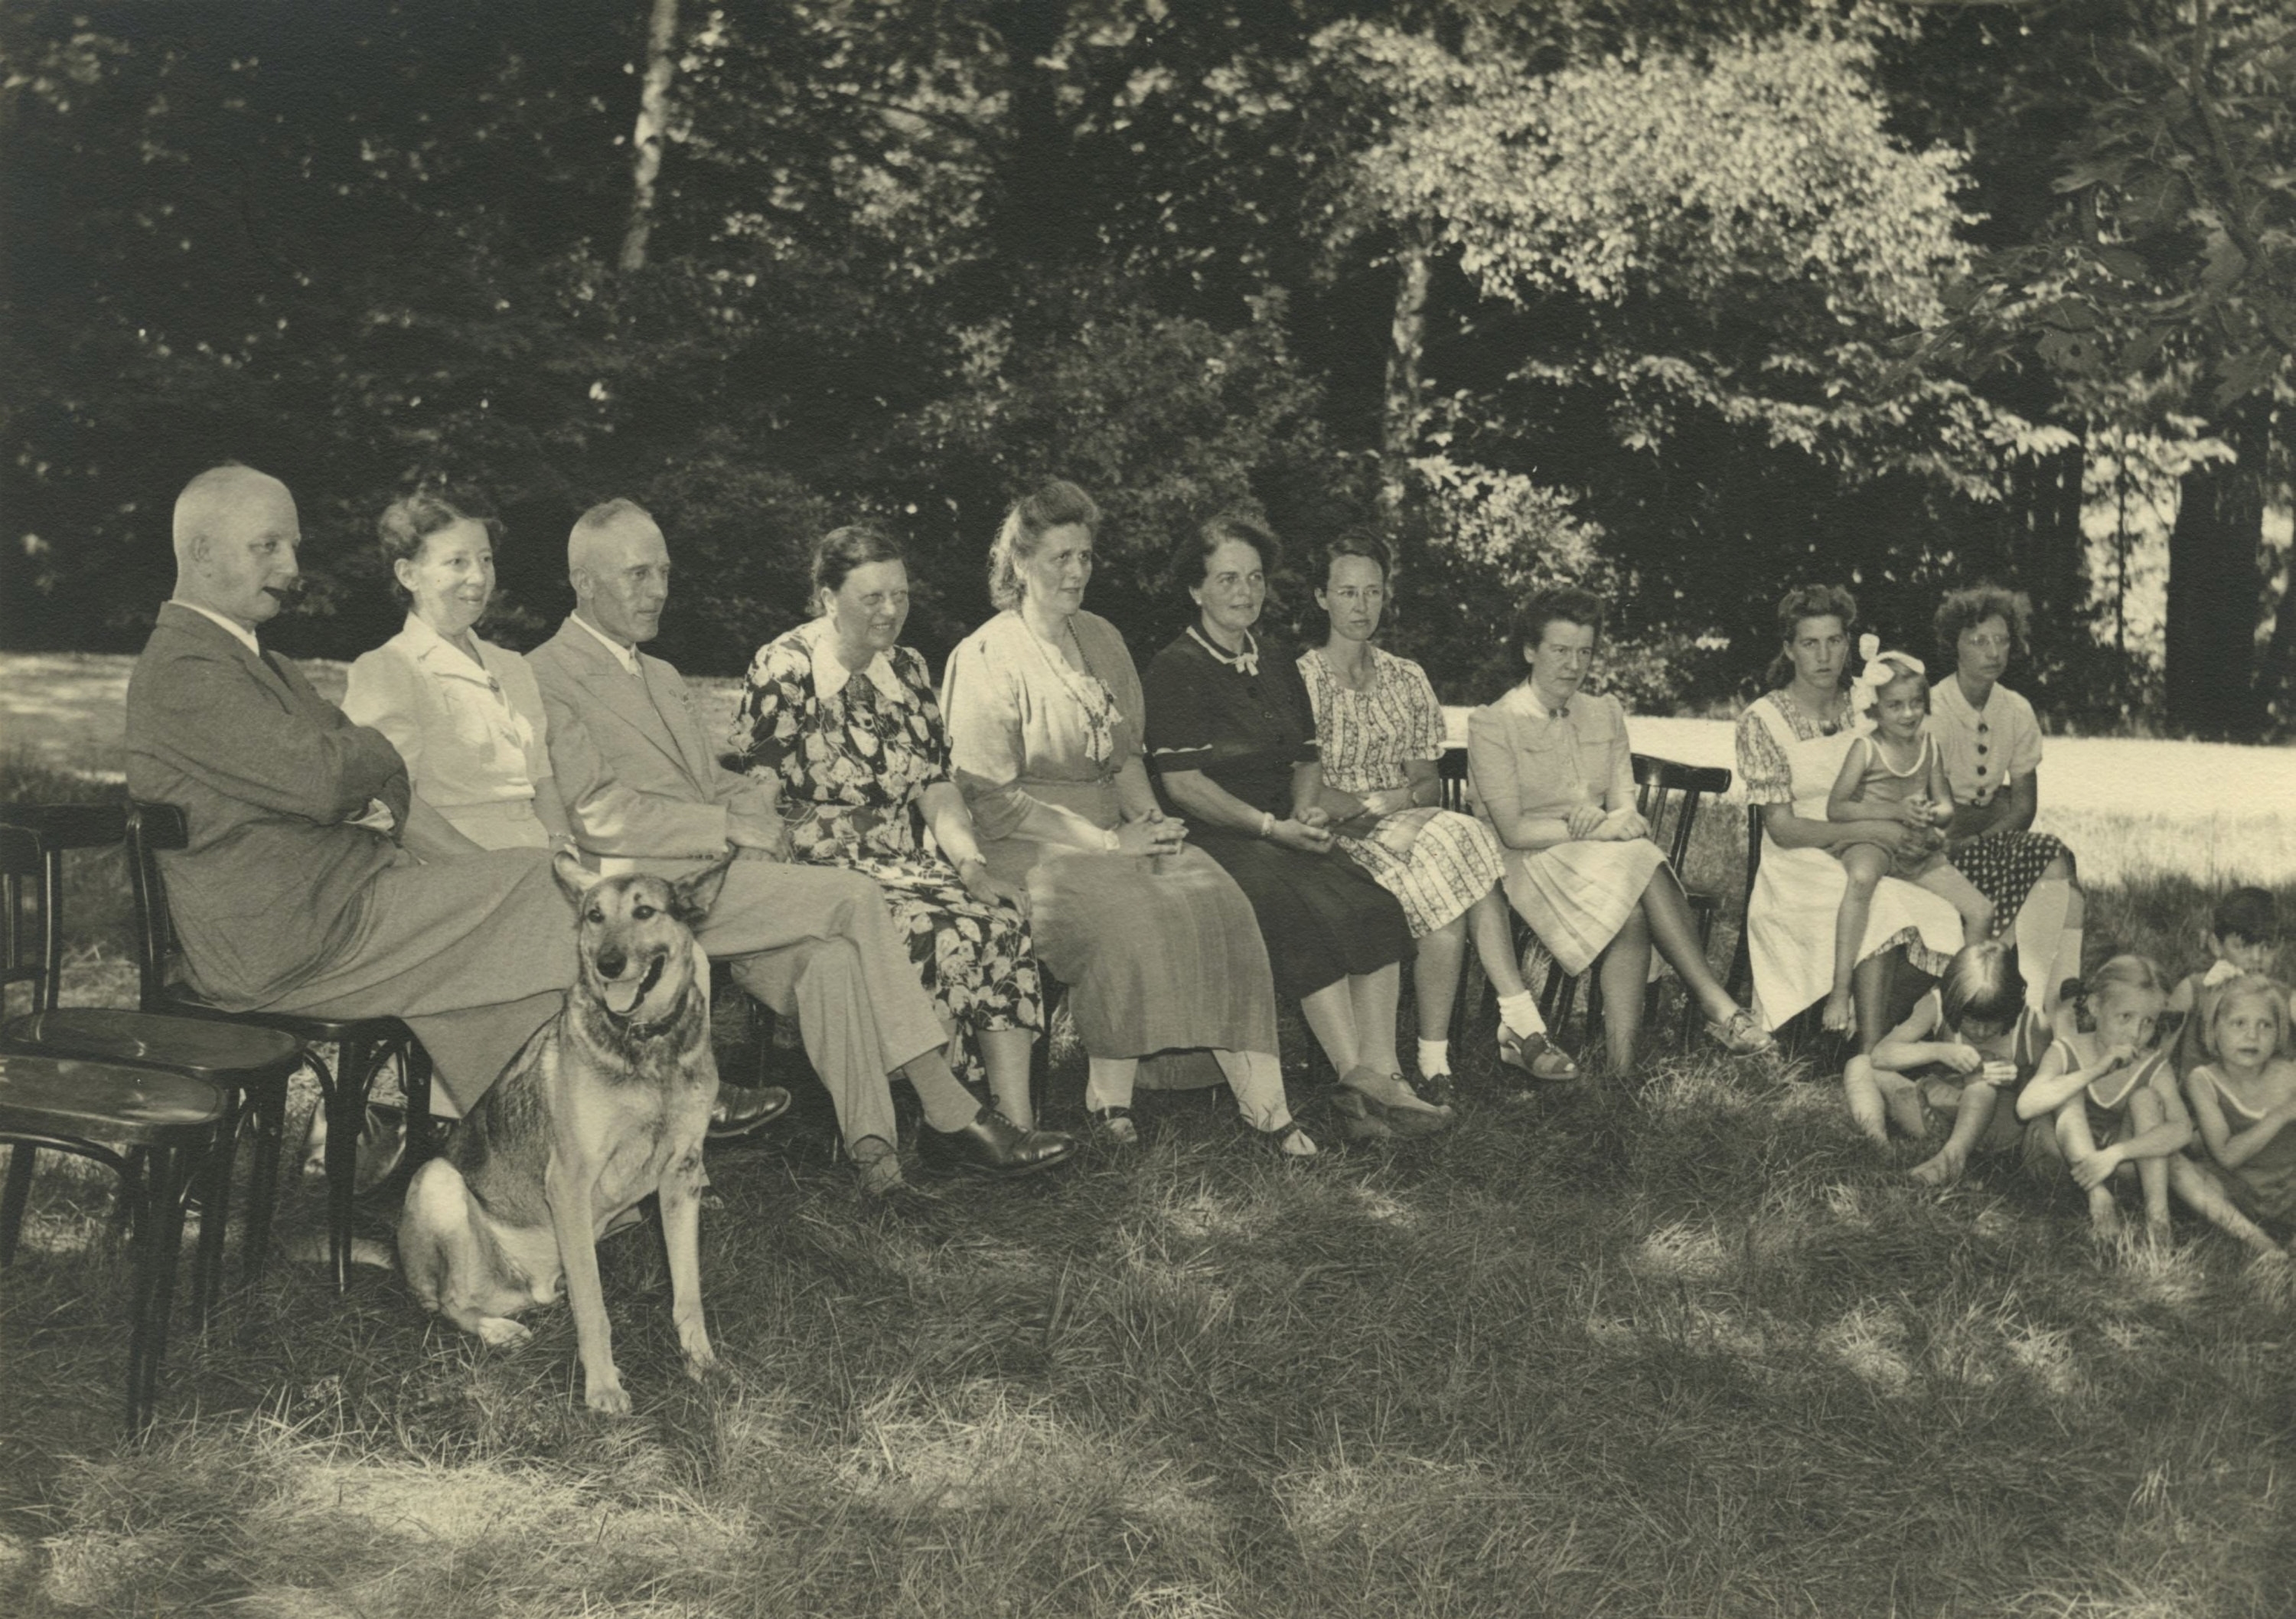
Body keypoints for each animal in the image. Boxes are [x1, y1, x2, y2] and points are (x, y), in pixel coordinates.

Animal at [400, 854, 730, 1405]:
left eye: (644, 911)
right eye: (594, 915)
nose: (608, 964)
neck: (646, 1045)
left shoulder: (682, 1178)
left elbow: (688, 1294)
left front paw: (702, 1363)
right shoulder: (571, 1181)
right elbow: (594, 1309)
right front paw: (603, 1386)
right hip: (437, 1179)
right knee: (450, 1302)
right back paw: (498, 1330)